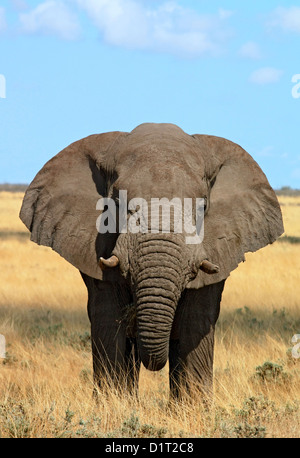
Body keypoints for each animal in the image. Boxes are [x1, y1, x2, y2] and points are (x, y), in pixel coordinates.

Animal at [19, 122, 284, 400]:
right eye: (117, 202)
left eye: (202, 205)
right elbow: (108, 318)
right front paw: (115, 405)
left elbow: (194, 321)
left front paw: (190, 408)